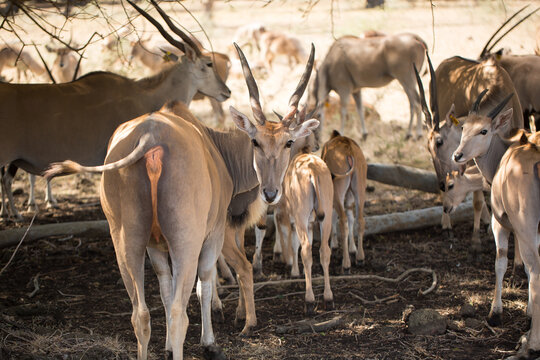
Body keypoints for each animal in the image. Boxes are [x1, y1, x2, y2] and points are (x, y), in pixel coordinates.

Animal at [320, 131, 368, 272]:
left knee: (342, 221)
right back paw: (360, 258)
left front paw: (334, 244)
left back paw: (346, 263)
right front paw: (353, 248)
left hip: (338, 190)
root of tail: (349, 150)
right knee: (359, 220)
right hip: (359, 189)